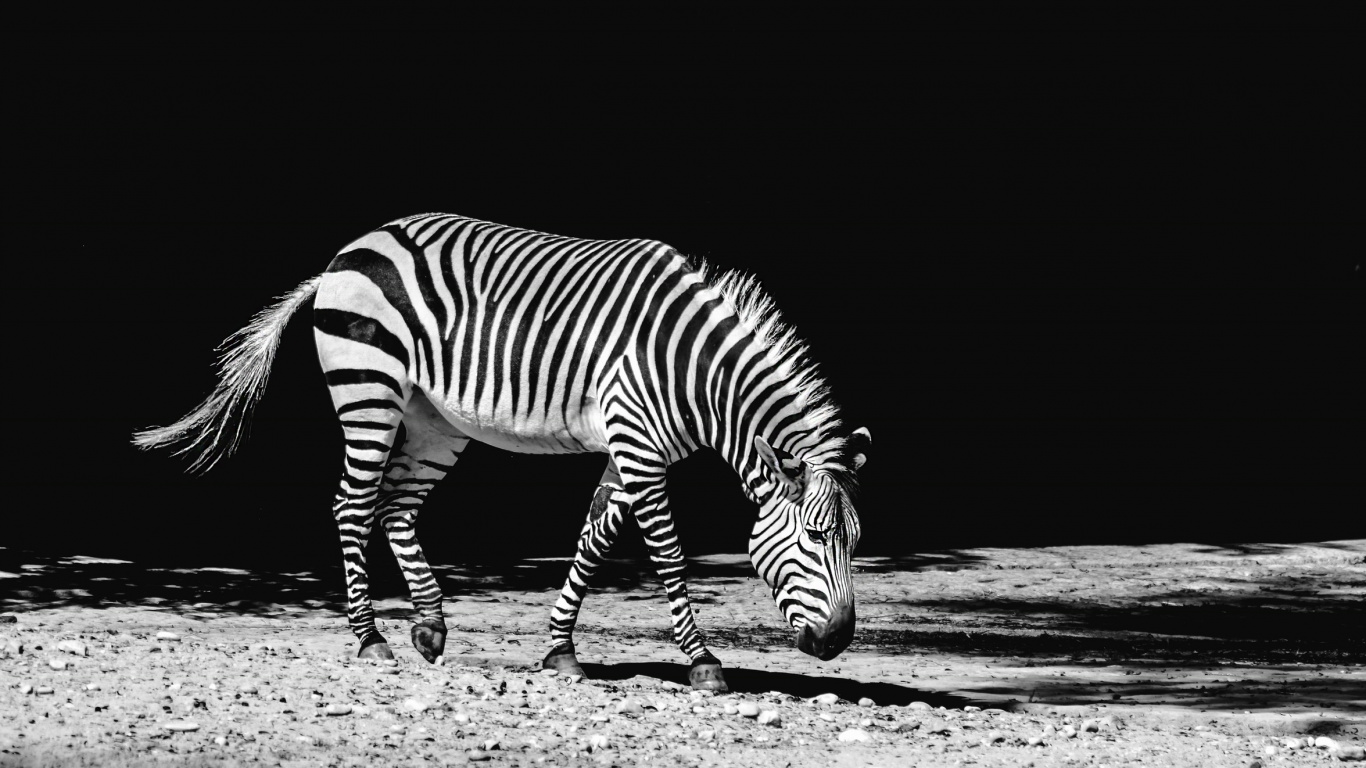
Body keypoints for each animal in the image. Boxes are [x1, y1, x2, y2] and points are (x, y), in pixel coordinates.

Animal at [133, 213, 870, 692]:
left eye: (854, 543)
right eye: (813, 538)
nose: (838, 643)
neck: (694, 369)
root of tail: (353, 247)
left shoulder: (630, 448)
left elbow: (594, 540)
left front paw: (560, 650)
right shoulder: (637, 443)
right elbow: (665, 552)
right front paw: (702, 662)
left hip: (434, 417)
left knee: (396, 509)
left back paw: (429, 627)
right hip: (368, 388)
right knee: (352, 504)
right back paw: (370, 638)